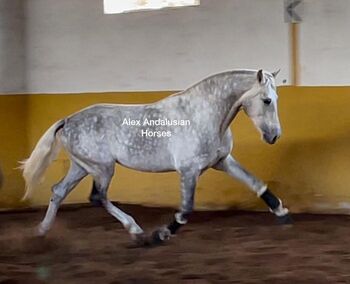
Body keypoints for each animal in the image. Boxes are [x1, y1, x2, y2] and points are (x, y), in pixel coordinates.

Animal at [19, 69, 292, 246]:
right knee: (98, 197)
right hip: (102, 168)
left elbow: (255, 183)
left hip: (82, 167)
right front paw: (161, 234)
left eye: (277, 99)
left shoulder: (221, 161)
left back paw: (41, 231)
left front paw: (282, 212)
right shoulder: (189, 170)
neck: (203, 114)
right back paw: (137, 231)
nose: (274, 135)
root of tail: (68, 120)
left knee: (59, 191)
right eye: (267, 100)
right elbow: (186, 209)